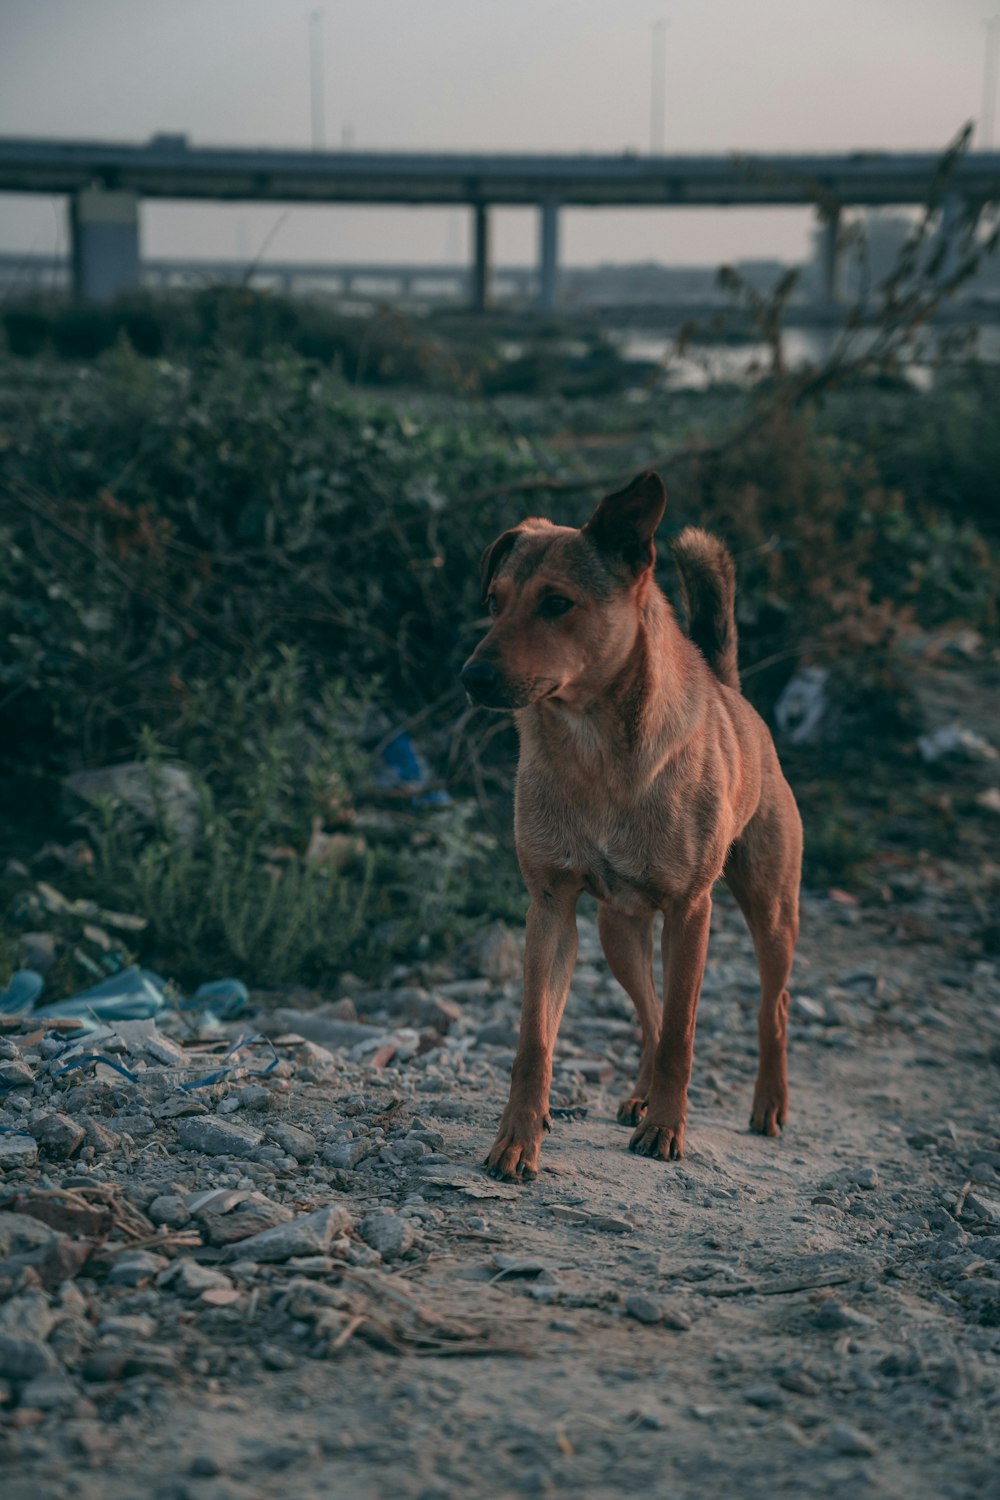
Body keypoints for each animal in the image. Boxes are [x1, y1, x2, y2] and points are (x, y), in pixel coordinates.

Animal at [464, 474, 803, 1176]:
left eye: (557, 603)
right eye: (493, 602)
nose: (470, 678)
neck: (594, 749)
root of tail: (733, 693)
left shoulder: (692, 910)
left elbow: (683, 1035)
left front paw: (668, 1130)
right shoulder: (552, 906)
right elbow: (535, 1041)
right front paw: (518, 1138)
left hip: (770, 914)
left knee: (769, 1006)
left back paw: (767, 1104)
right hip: (617, 930)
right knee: (650, 1011)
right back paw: (642, 1096)